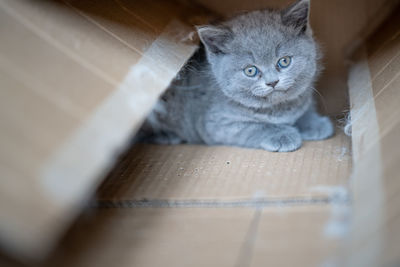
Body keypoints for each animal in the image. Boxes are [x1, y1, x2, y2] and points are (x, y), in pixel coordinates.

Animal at [138, 0, 334, 152]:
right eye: (250, 71)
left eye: (284, 61)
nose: (272, 82)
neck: (277, 109)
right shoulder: (216, 124)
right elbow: (254, 127)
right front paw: (282, 134)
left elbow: (303, 110)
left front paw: (315, 123)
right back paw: (166, 136)